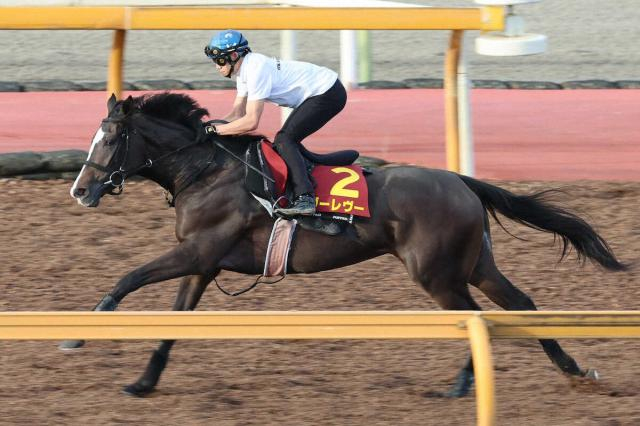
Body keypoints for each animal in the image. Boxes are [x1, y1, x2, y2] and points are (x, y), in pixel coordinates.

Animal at [65, 92, 626, 397]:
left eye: (110, 138)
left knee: (477, 319)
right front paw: (143, 383)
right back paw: (574, 370)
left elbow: (128, 276)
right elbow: (171, 325)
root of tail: (461, 180)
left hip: (437, 274)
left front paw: (79, 333)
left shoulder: (198, 252)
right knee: (519, 304)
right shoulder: (203, 264)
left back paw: (464, 384)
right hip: (473, 265)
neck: (205, 169)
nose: (80, 190)